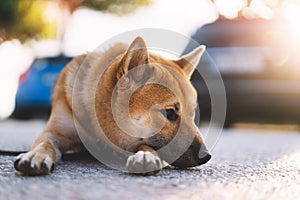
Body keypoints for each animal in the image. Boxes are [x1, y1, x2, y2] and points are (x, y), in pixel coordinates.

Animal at [14, 36, 211, 176]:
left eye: (193, 114)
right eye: (169, 113)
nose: (207, 156)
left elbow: (147, 146)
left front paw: (145, 154)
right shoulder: (54, 132)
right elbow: (45, 143)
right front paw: (36, 154)